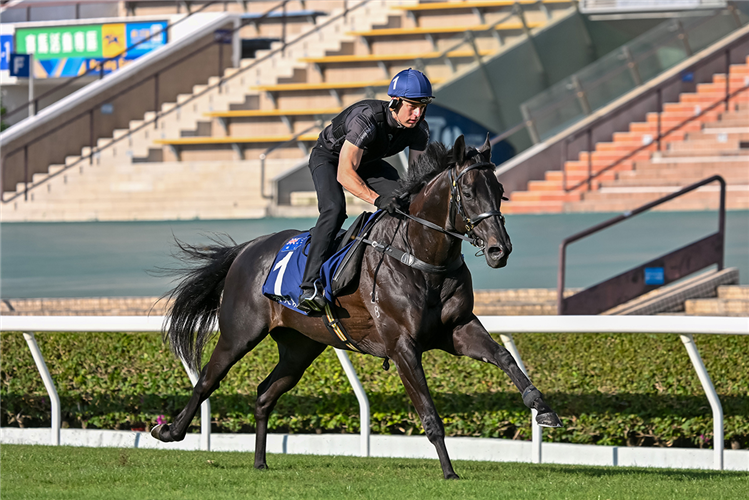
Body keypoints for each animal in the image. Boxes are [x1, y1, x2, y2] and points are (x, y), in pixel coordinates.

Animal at [152, 135, 560, 478]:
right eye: (471, 192)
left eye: (500, 191)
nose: (499, 249)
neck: (421, 256)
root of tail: (247, 248)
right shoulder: (402, 346)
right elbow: (429, 413)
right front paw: (449, 471)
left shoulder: (458, 329)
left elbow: (505, 358)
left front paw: (544, 409)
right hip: (239, 332)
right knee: (207, 380)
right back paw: (170, 431)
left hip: (300, 346)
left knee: (265, 393)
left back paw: (260, 462)